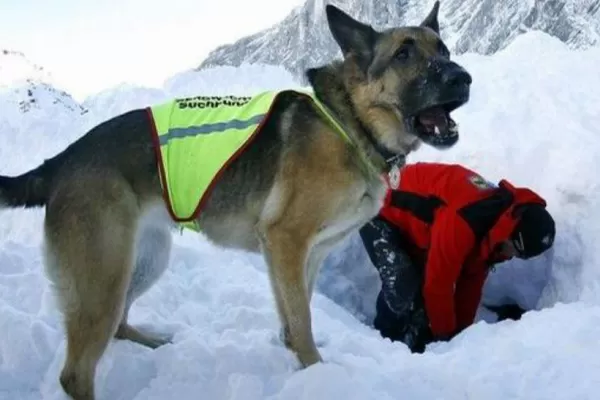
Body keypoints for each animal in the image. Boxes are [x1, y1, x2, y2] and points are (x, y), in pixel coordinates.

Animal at [0, 2, 472, 396]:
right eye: (404, 54)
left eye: (444, 49)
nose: (462, 78)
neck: (350, 123)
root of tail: (61, 160)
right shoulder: (285, 241)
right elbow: (301, 320)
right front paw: (318, 373)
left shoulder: (306, 254)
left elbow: (295, 314)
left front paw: (299, 361)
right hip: (104, 276)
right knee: (76, 372)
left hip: (144, 260)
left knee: (118, 326)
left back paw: (152, 341)